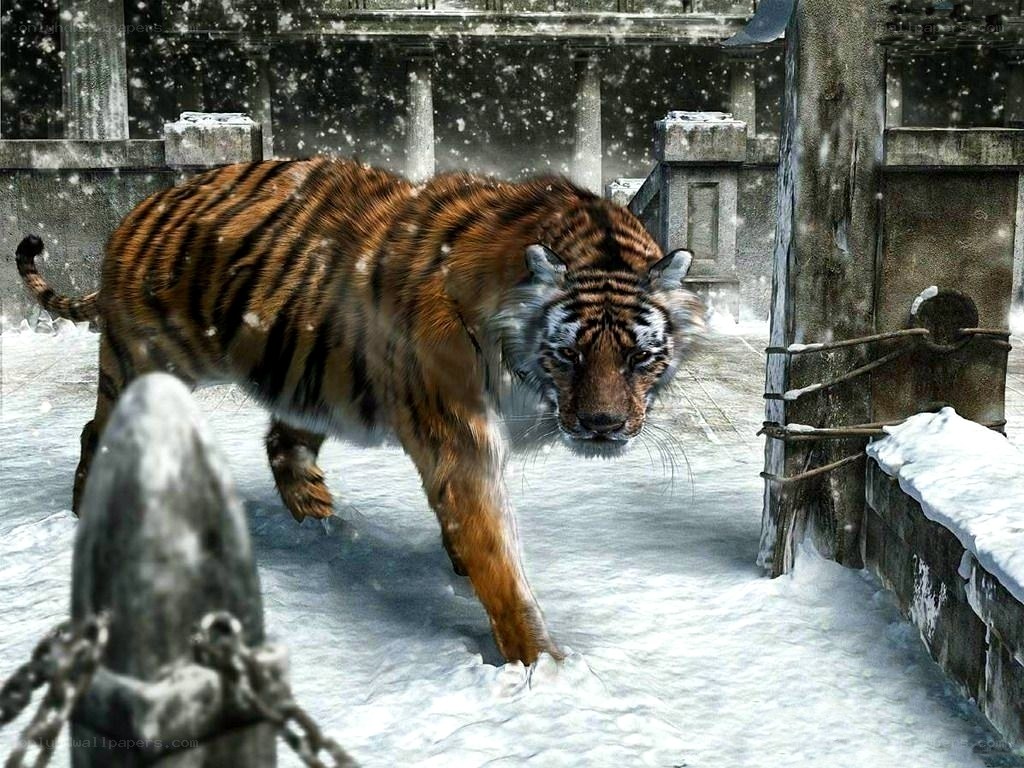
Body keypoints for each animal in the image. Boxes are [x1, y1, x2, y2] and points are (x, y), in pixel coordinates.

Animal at [16, 157, 703, 664]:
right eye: (569, 353)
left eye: (639, 357)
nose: (603, 426)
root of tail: (140, 205)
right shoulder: (461, 440)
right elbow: (497, 556)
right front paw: (544, 667)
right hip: (148, 360)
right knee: (96, 429)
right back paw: (89, 508)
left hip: (308, 376)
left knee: (282, 442)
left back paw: (320, 522)